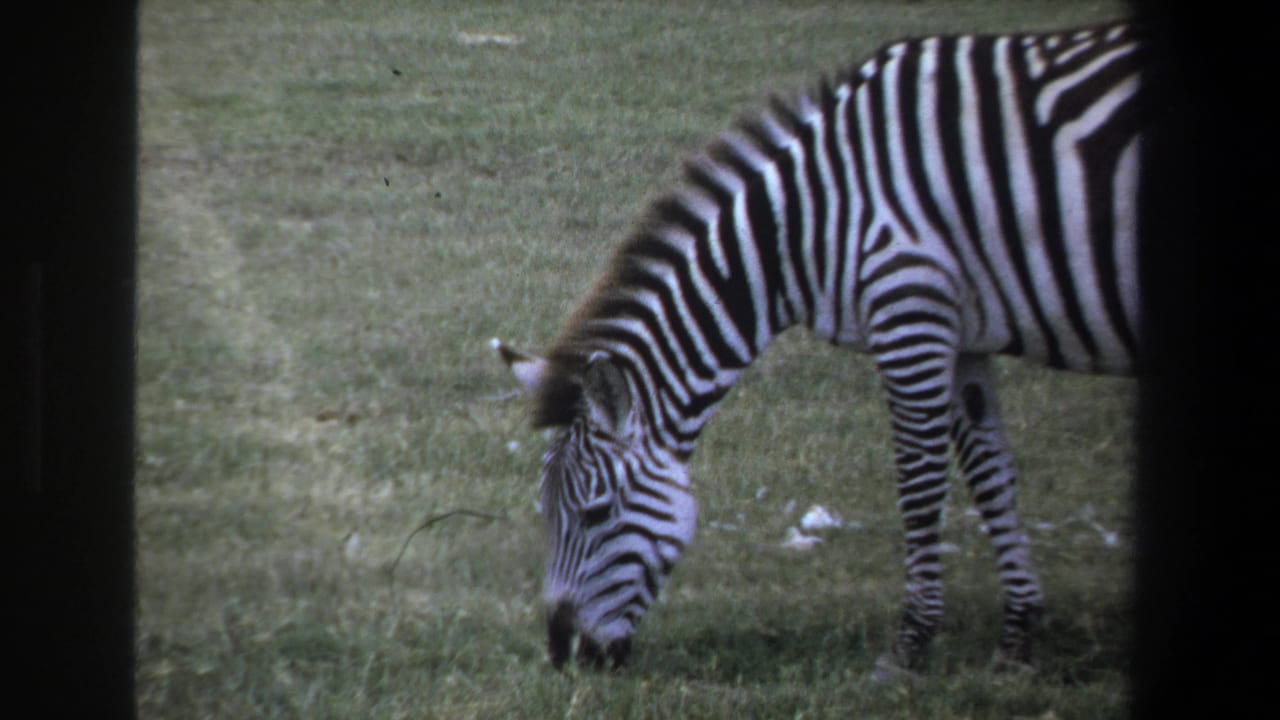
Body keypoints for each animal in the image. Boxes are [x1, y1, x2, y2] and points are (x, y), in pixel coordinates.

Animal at [494, 20, 1147, 675]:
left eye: (596, 512)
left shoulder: (910, 314)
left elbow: (919, 485)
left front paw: (910, 644)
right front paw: (1017, 637)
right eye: (545, 511)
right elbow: (991, 478)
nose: (564, 654)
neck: (807, 223)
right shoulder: (963, 336)